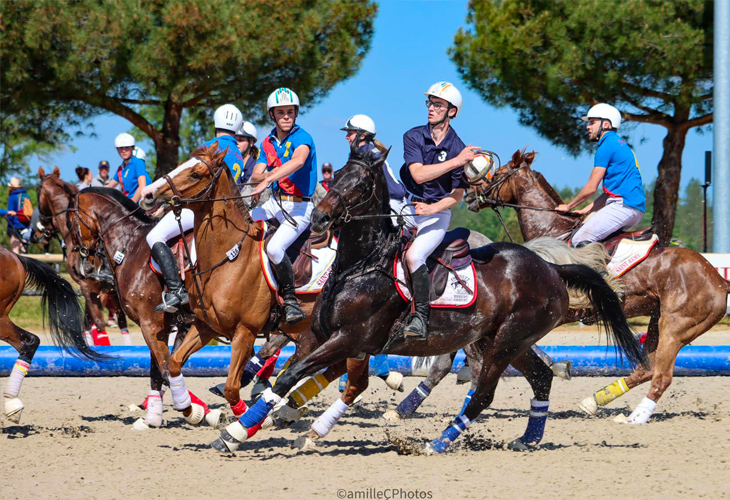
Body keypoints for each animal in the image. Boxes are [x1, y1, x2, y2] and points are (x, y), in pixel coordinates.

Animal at [35, 166, 129, 346]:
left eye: (37, 191)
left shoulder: (90, 287)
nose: (36, 233)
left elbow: (98, 324)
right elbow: (92, 323)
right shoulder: (103, 291)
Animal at [68, 188, 222, 430]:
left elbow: (167, 369)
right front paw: (153, 418)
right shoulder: (165, 326)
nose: (78, 268)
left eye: (71, 222)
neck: (130, 246)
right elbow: (160, 370)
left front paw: (198, 412)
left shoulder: (150, 323)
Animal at [210, 145, 644, 454]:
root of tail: (552, 268)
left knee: (484, 393)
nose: (317, 220)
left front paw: (239, 428)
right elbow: (285, 377)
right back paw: (527, 439)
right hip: (507, 341)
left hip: (505, 342)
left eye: (360, 185)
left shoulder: (349, 338)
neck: (360, 265)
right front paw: (235, 431)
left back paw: (439, 442)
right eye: (334, 180)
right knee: (540, 378)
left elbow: (291, 375)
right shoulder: (317, 335)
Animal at [466, 150, 728, 424]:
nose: (469, 197)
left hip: (675, 329)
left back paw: (636, 418)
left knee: (661, 376)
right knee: (645, 368)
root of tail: (719, 280)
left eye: (496, 174)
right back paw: (594, 402)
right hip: (658, 322)